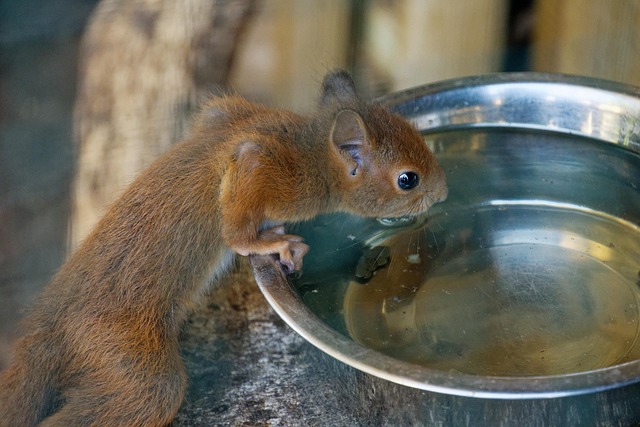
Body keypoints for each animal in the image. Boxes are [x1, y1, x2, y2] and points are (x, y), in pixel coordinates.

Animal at [0, 71, 448, 427]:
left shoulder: (224, 112)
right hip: (133, 367)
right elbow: (236, 227)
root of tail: (47, 325)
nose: (444, 192)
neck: (309, 147)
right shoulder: (261, 165)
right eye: (408, 179)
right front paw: (275, 243)